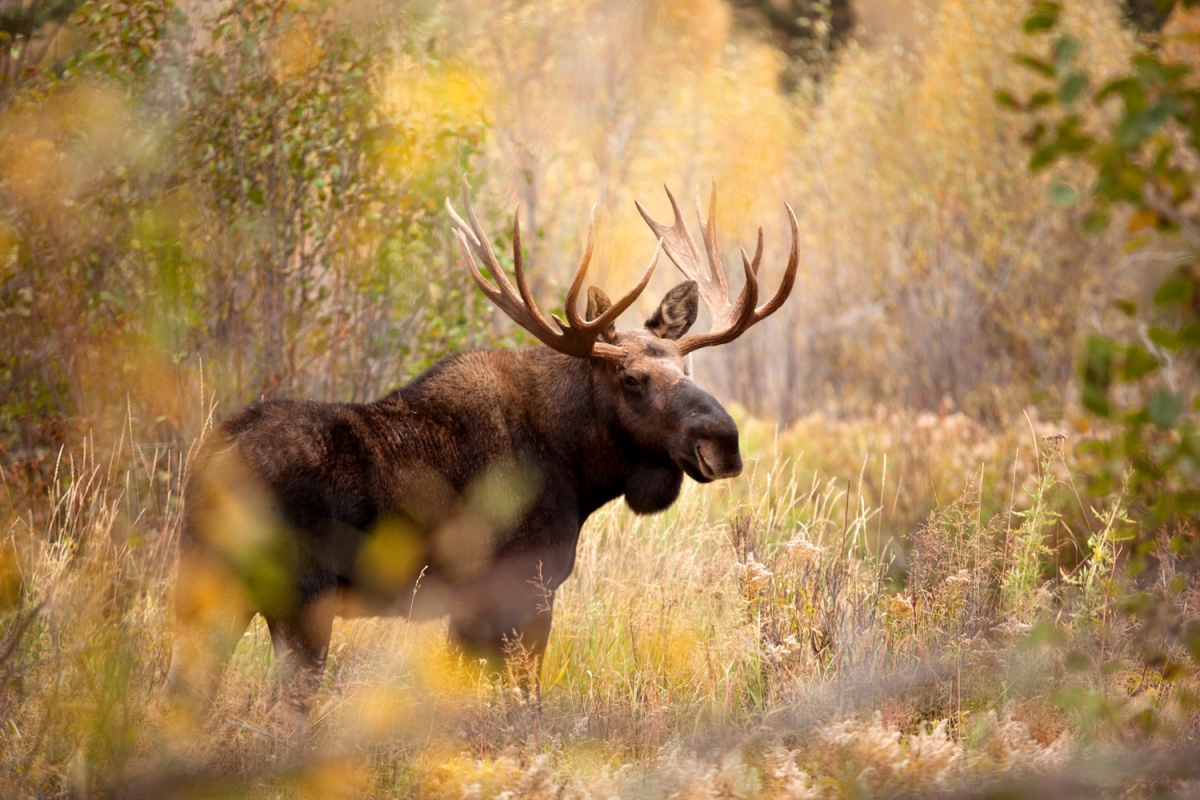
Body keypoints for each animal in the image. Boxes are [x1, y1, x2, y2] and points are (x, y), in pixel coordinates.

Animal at [162, 179, 796, 724]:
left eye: (688, 369)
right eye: (632, 379)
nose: (724, 442)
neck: (577, 464)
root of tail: (209, 466)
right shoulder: (522, 588)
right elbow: (521, 702)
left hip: (206, 588)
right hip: (298, 601)